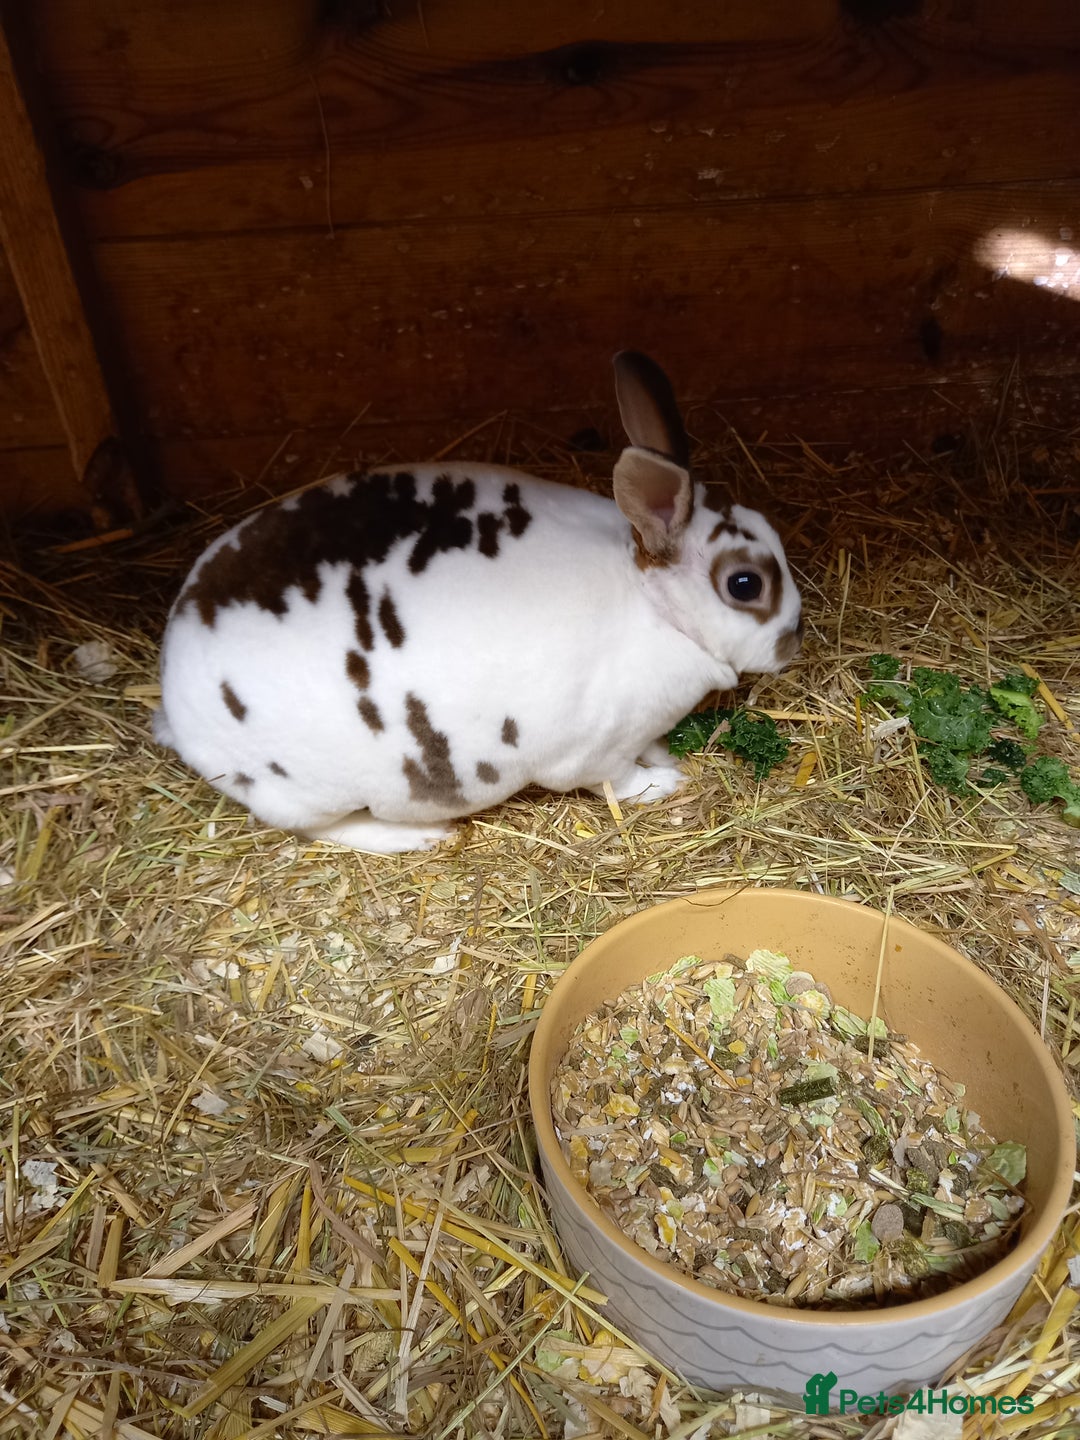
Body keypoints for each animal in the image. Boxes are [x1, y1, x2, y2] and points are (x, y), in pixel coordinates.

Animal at [153, 352, 803, 853]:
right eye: (745, 585)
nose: (793, 640)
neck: (650, 603)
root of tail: (175, 702)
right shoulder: (593, 754)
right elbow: (618, 781)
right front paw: (666, 784)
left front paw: (667, 759)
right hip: (303, 793)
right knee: (323, 828)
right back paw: (419, 836)